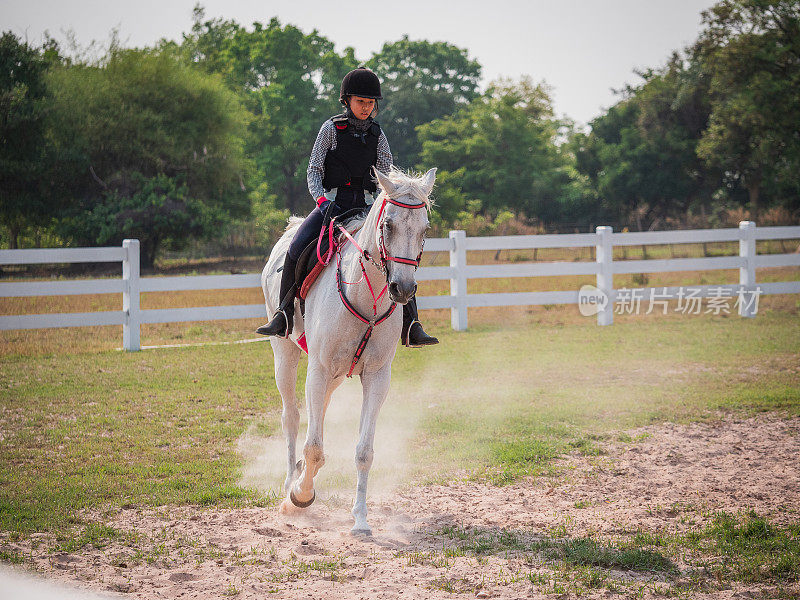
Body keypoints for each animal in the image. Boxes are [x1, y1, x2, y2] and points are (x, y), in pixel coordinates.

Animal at [260, 165, 438, 536]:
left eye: (425, 229)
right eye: (388, 225)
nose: (403, 288)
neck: (365, 296)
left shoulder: (377, 377)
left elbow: (363, 451)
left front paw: (360, 520)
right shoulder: (319, 367)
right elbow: (314, 447)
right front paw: (300, 495)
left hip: (337, 374)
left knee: (318, 412)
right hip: (285, 354)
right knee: (292, 417)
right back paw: (289, 482)